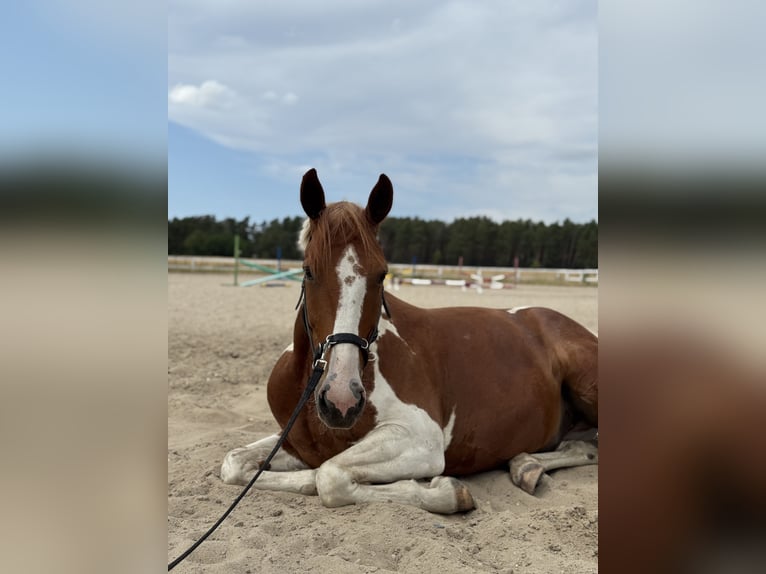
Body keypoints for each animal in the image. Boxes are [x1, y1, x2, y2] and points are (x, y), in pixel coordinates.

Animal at [221, 169, 598, 514]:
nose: (342, 400)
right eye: (309, 270)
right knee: (583, 446)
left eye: (381, 274)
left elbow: (329, 475)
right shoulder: (294, 443)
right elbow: (235, 464)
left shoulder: (420, 439)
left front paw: (447, 492)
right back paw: (526, 466)